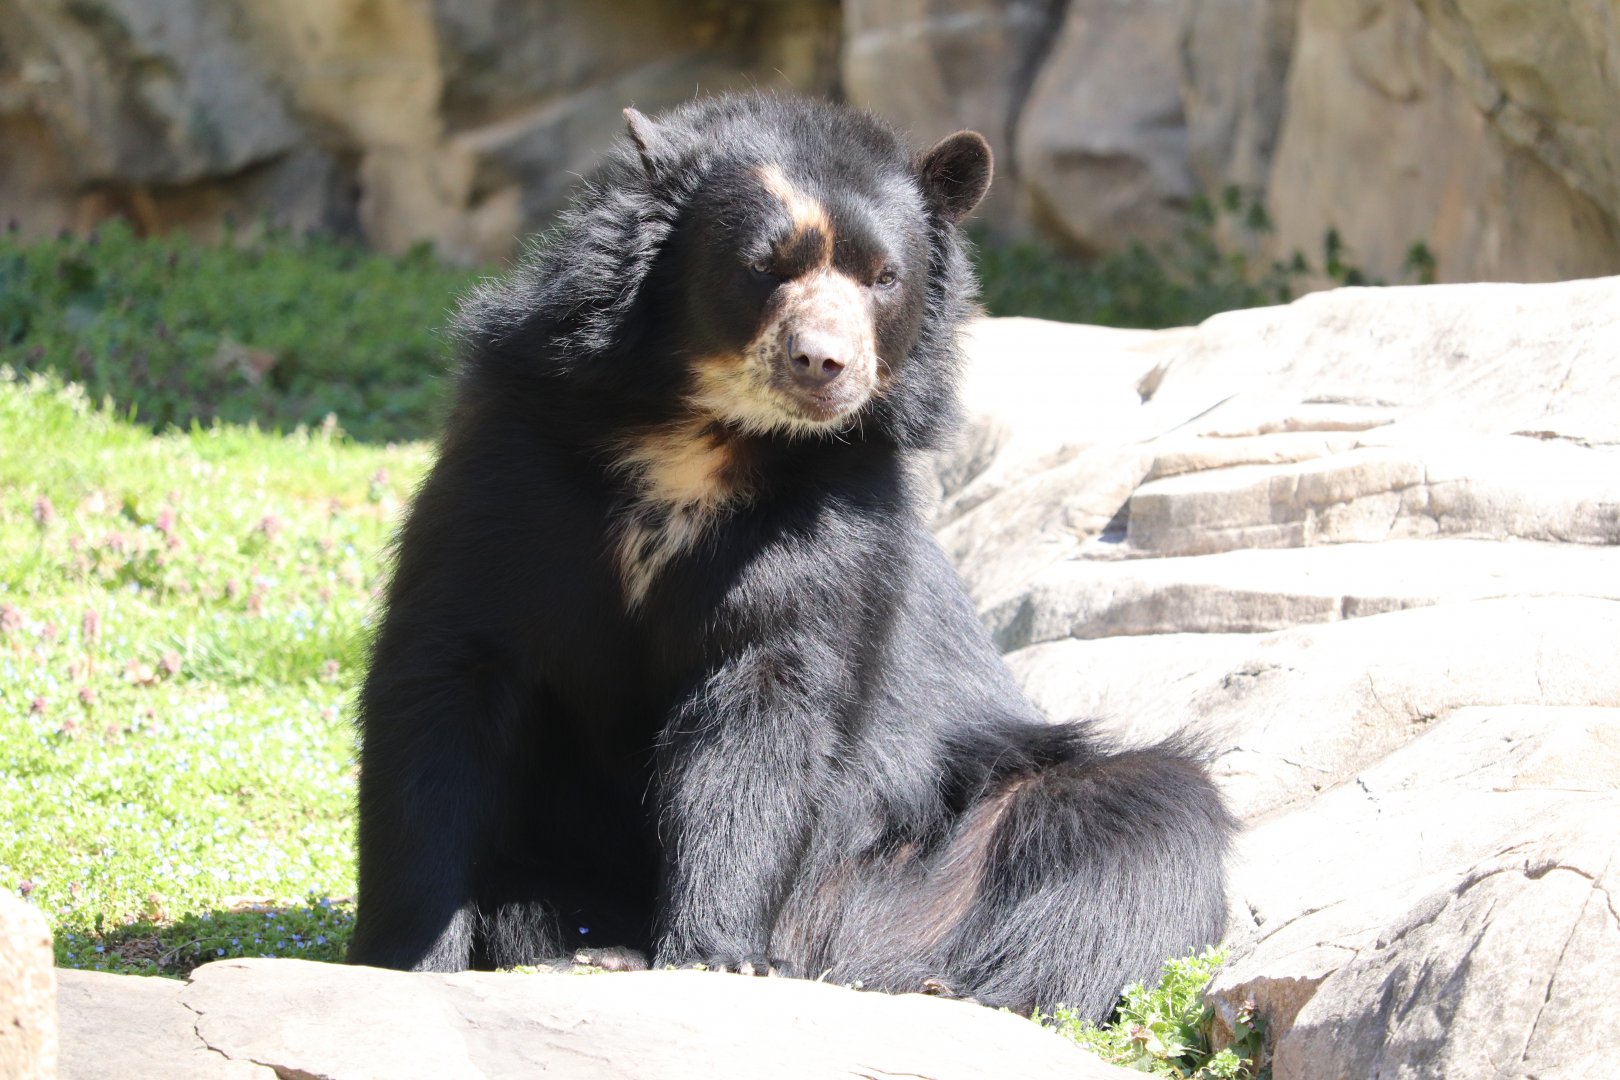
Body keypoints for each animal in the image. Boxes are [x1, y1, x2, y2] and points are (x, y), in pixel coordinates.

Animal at [346, 92, 1233, 1020]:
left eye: (882, 277)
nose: (822, 362)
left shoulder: (832, 509)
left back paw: (941, 979)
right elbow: (447, 671)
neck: (706, 433)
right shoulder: (515, 461)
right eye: (765, 266)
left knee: (1144, 819)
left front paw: (712, 959)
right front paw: (406, 958)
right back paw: (596, 954)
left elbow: (770, 700)